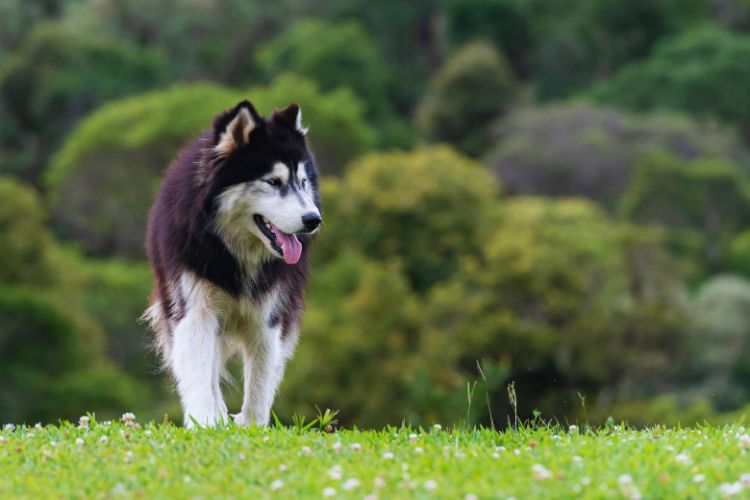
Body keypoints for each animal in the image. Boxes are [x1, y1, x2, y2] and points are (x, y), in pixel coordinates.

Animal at [144, 100, 320, 426]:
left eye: (303, 182)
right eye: (273, 182)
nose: (313, 220)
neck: (234, 252)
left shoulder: (268, 317)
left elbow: (261, 381)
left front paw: (251, 425)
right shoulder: (195, 308)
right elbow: (199, 374)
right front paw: (205, 421)